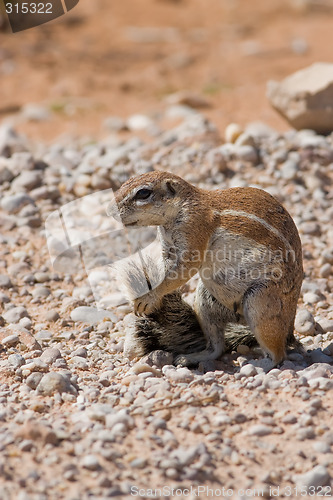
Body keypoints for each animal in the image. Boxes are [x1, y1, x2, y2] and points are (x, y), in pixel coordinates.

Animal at [108, 172, 300, 368]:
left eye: (143, 193)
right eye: (124, 183)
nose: (110, 210)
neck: (182, 207)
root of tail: (290, 327)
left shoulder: (194, 230)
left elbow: (184, 270)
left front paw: (149, 297)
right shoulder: (168, 247)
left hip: (261, 304)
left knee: (278, 353)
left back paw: (262, 364)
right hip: (204, 303)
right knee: (217, 347)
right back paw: (192, 357)